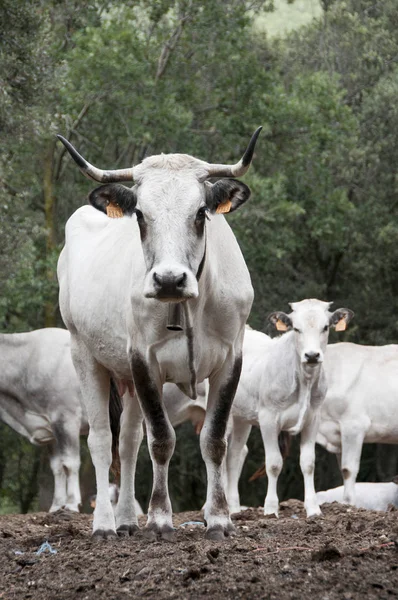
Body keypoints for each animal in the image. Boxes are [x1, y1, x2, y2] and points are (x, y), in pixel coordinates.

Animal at [0, 328, 87, 510]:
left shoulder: (67, 417)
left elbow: (70, 462)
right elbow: (57, 466)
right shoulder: (50, 427)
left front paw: (71, 503)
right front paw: (56, 506)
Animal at [56, 127, 262, 540]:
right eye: (139, 214)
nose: (169, 279)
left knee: (128, 442)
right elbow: (162, 440)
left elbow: (213, 439)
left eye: (200, 213)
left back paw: (125, 520)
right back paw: (104, 525)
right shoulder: (144, 359)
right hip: (84, 353)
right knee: (102, 440)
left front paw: (218, 519)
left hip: (126, 377)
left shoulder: (231, 358)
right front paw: (160, 519)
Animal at [225, 302, 352, 516]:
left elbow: (308, 463)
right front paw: (270, 509)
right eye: (296, 328)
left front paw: (313, 509)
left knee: (234, 453)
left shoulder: (313, 419)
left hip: (241, 417)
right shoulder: (268, 418)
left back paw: (234, 508)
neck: (304, 381)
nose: (312, 355)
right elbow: (274, 463)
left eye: (325, 327)